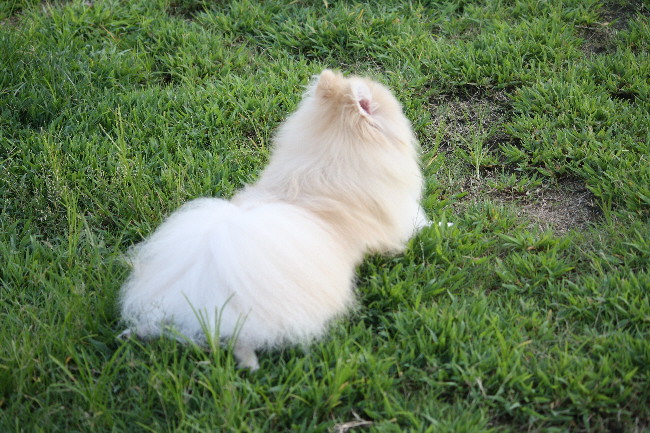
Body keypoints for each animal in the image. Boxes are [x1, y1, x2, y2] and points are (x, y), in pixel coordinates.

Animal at [119, 70, 428, 370]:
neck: (335, 147)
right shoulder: (402, 219)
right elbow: (423, 222)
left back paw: (135, 333)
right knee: (238, 338)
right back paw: (250, 363)